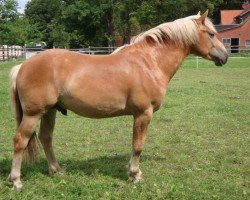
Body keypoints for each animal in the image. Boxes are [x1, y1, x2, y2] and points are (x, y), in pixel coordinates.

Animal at [8, 11, 229, 191]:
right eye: (211, 34)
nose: (225, 56)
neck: (149, 62)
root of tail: (23, 66)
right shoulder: (143, 113)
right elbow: (138, 145)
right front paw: (135, 175)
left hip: (50, 110)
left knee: (46, 138)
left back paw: (56, 170)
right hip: (33, 113)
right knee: (20, 141)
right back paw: (16, 180)